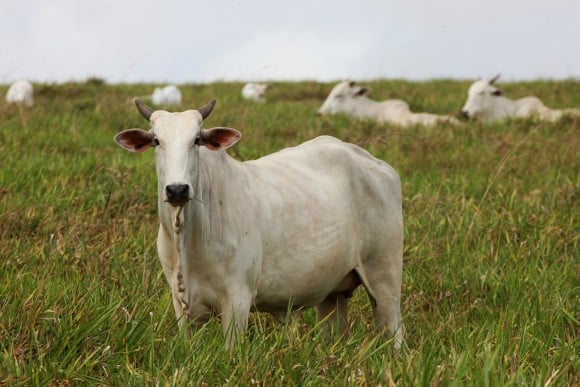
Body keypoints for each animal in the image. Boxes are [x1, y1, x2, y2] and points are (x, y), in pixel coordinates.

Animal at [112, 98, 404, 350]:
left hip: (384, 277)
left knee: (395, 332)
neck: (187, 234)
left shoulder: (237, 300)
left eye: (196, 140)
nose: (177, 189)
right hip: (332, 292)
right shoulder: (181, 305)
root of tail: (373, 162)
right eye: (156, 140)